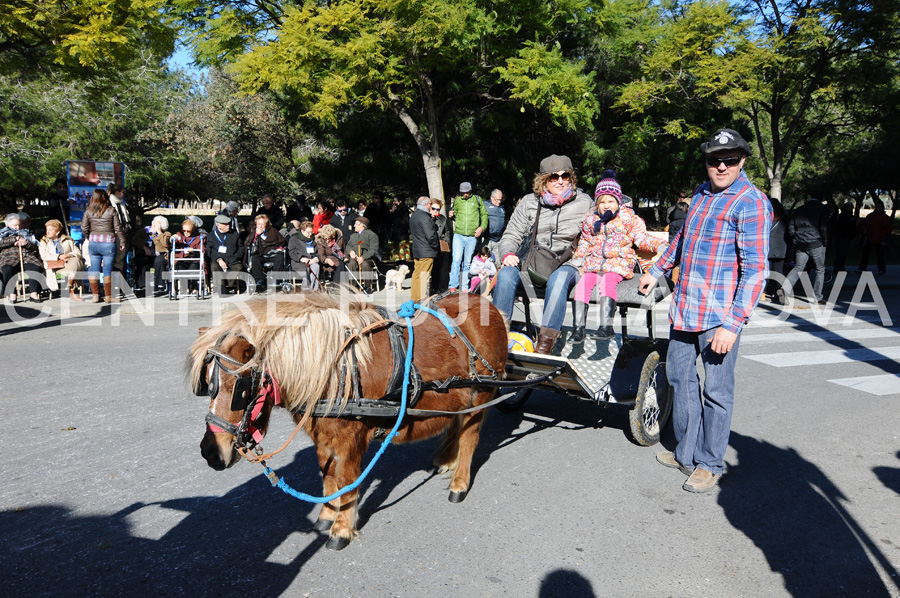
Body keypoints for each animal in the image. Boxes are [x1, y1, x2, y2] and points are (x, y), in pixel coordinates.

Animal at [186, 292, 510, 552]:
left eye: (238, 390)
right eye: (207, 386)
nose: (210, 452)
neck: (335, 370)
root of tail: (487, 304)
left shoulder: (351, 439)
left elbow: (346, 482)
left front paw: (341, 529)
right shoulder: (323, 437)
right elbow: (327, 476)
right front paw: (326, 516)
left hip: (482, 393)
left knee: (470, 436)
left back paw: (460, 481)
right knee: (456, 425)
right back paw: (446, 459)